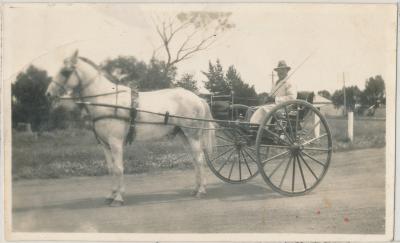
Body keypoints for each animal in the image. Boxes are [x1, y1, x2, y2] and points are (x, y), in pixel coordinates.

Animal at [45, 50, 216, 206]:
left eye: (65, 71)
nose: (48, 94)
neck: (106, 100)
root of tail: (198, 98)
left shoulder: (115, 142)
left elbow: (119, 168)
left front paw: (118, 198)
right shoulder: (105, 144)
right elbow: (111, 168)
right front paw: (111, 195)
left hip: (192, 135)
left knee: (199, 159)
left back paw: (201, 191)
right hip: (183, 135)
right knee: (194, 160)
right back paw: (196, 189)